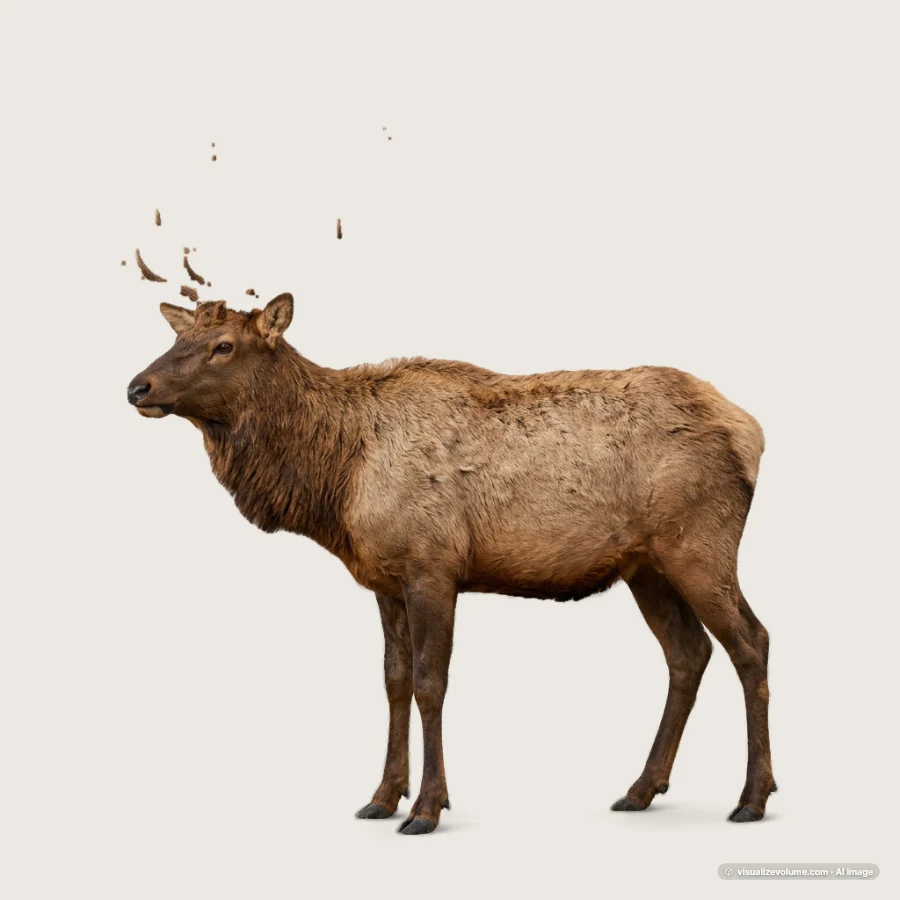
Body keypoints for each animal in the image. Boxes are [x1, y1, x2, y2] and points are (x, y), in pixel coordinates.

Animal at [127, 294, 774, 835]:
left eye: (223, 345)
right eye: (178, 337)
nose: (137, 386)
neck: (336, 480)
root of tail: (752, 431)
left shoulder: (432, 567)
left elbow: (428, 684)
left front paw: (426, 808)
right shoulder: (383, 580)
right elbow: (392, 680)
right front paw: (380, 797)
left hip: (700, 545)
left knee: (752, 642)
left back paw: (751, 797)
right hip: (647, 567)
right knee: (688, 654)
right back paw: (641, 788)